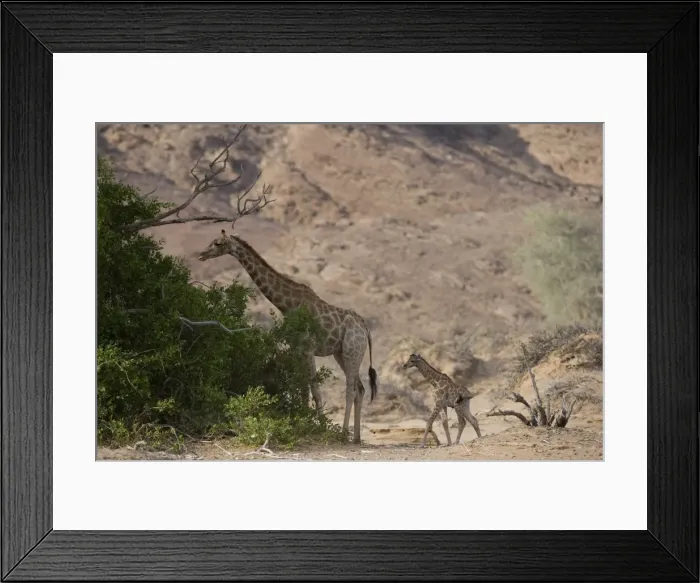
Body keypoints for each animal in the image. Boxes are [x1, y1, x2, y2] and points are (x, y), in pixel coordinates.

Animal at [197, 229, 378, 444]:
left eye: (217, 243)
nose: (201, 255)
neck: (287, 305)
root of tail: (365, 329)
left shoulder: (308, 347)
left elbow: (314, 389)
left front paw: (320, 427)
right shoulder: (296, 348)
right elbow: (302, 389)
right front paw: (303, 422)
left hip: (352, 350)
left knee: (351, 389)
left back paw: (343, 434)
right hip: (341, 353)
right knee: (360, 388)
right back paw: (356, 437)